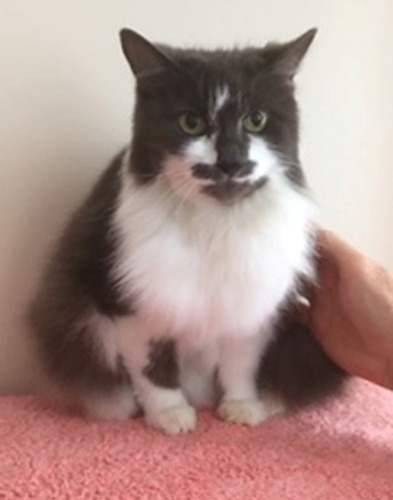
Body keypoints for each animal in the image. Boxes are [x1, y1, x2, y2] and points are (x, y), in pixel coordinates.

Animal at [28, 28, 346, 434]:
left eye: (256, 120)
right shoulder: (130, 307)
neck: (216, 224)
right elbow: (154, 372)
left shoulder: (250, 307)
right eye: (191, 123)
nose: (231, 161)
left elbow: (241, 366)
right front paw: (171, 416)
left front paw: (241, 408)